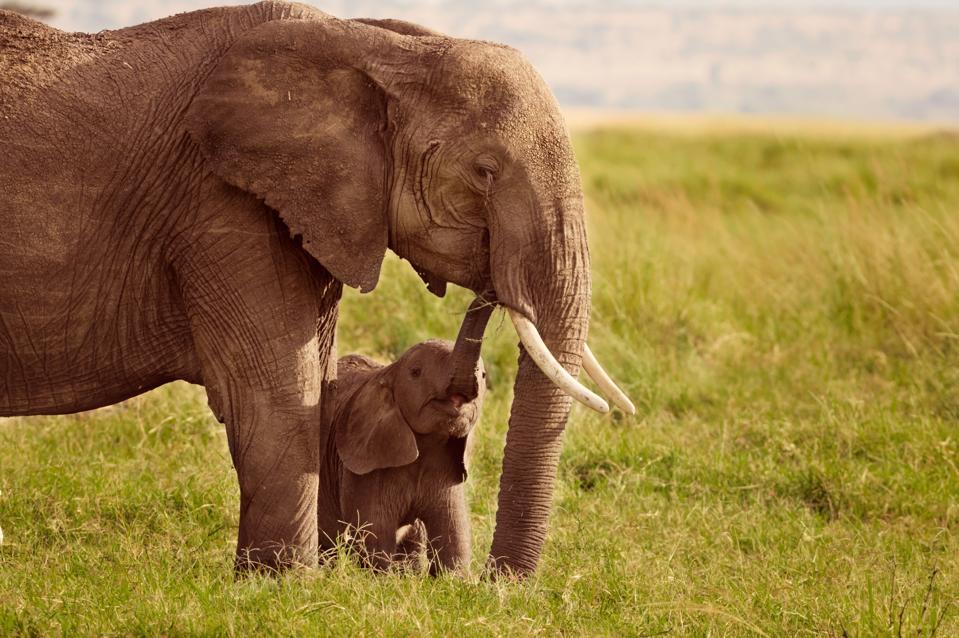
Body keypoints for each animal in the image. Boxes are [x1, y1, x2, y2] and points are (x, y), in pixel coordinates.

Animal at [318, 304, 489, 573]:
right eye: (416, 372)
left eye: (483, 376)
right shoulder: (364, 470)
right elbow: (376, 536)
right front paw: (380, 577)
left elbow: (454, 537)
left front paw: (454, 579)